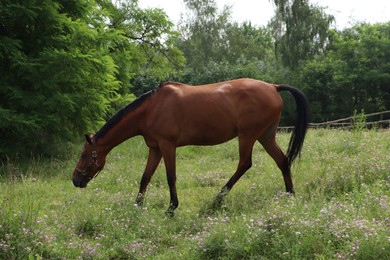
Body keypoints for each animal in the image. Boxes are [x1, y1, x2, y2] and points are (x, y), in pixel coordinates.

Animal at [71, 77, 306, 215]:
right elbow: (145, 177)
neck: (151, 109)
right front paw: (137, 205)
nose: (75, 180)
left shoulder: (167, 146)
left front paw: (171, 208)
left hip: (248, 136)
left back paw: (218, 198)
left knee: (244, 164)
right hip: (265, 136)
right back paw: (290, 196)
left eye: (84, 155)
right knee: (282, 161)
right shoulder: (155, 148)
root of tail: (273, 87)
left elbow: (170, 177)